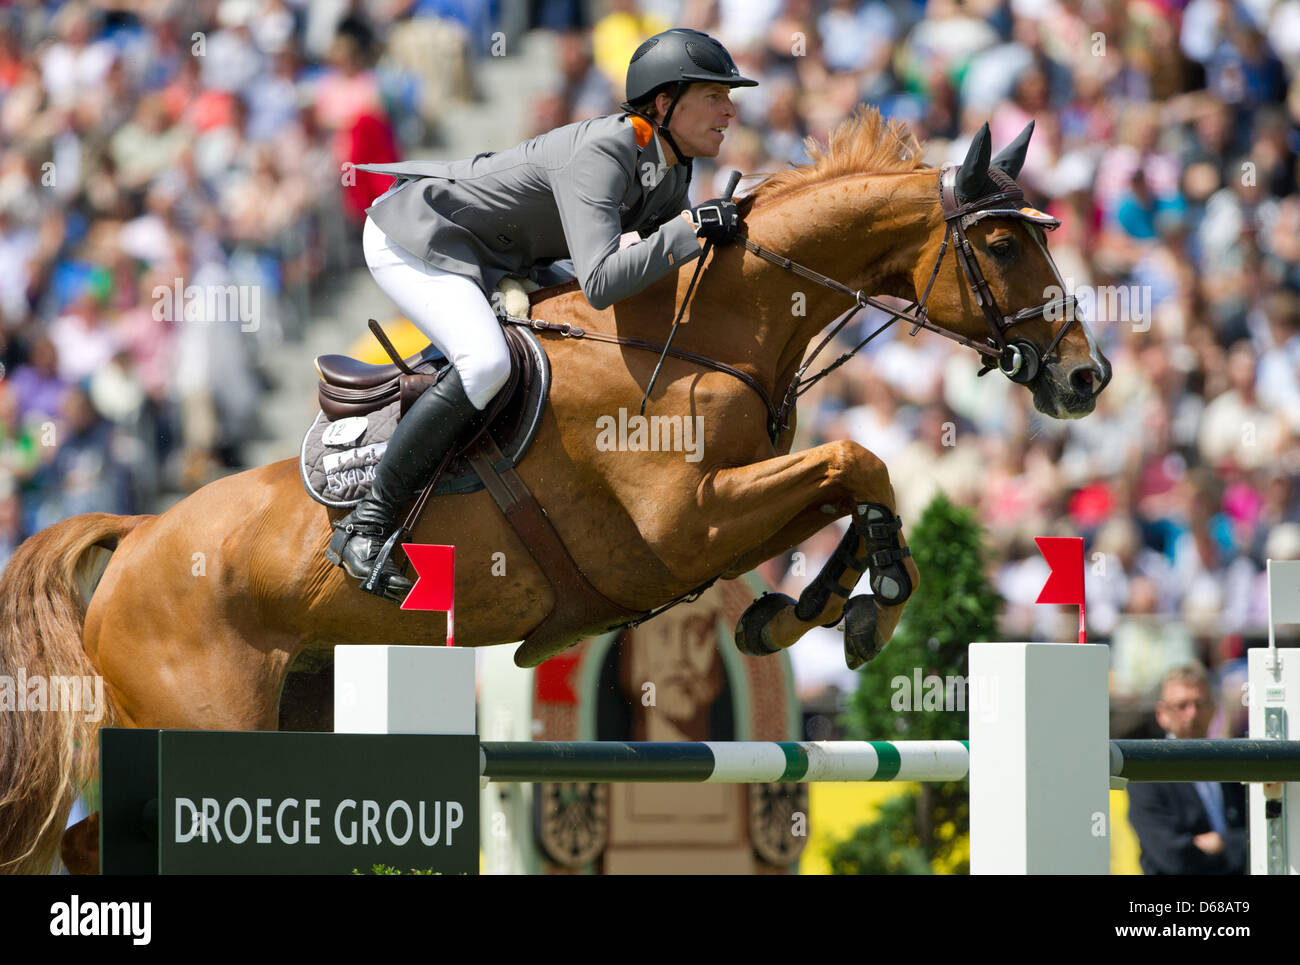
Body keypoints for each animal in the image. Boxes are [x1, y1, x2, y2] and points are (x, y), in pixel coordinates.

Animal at [5, 113, 1112, 879]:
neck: (707, 329)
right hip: (205, 716)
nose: (1085, 377)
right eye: (1004, 245)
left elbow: (847, 481)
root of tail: (140, 533)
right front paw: (864, 600)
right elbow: (856, 461)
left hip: (288, 714)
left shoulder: (721, 511)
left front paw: (807, 608)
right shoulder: (684, 526)